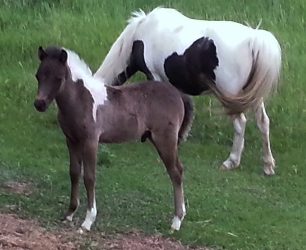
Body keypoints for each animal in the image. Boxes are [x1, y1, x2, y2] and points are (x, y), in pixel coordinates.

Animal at [33, 45, 194, 232]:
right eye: (38, 75)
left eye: (58, 78)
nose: (39, 104)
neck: (81, 99)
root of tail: (178, 94)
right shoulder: (71, 140)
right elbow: (74, 173)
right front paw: (69, 214)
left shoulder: (90, 141)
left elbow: (89, 177)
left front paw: (87, 221)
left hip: (165, 140)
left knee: (176, 172)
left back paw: (176, 221)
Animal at [94, 7, 282, 174]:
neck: (140, 34)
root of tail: (254, 39)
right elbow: (186, 106)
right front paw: (180, 136)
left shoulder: (154, 77)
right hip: (253, 97)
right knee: (263, 123)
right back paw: (268, 165)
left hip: (232, 97)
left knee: (240, 123)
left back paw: (231, 161)